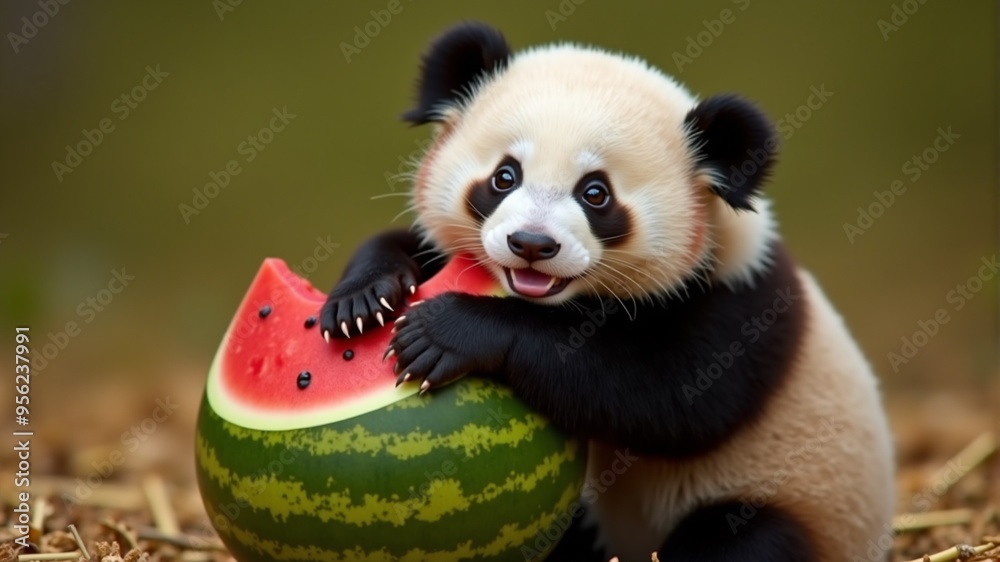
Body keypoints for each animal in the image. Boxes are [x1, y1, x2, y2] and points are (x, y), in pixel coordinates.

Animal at [320, 22, 895, 562]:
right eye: (505, 176)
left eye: (595, 193)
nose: (532, 244)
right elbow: (401, 249)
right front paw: (362, 301)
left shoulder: (742, 304)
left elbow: (666, 393)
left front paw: (444, 333)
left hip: (794, 501)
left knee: (744, 537)